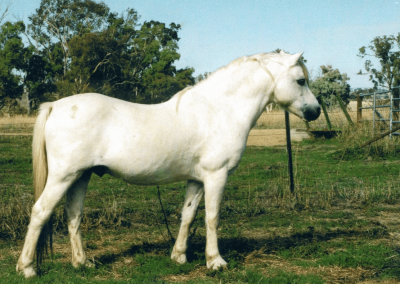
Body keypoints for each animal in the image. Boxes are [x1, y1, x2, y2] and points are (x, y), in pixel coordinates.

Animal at [17, 51, 320, 278]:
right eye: (300, 80)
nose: (315, 111)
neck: (219, 110)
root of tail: (54, 106)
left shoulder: (197, 179)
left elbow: (188, 215)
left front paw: (179, 256)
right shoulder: (216, 176)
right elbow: (212, 217)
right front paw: (215, 262)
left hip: (81, 176)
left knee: (74, 216)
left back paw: (82, 263)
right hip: (63, 176)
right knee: (40, 212)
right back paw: (27, 268)